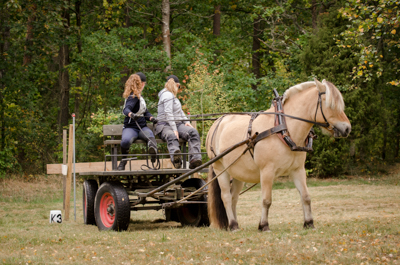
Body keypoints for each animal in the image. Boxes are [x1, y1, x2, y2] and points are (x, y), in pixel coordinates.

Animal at [206, 77, 350, 230]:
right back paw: (232, 224)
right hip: (220, 169)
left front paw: (309, 222)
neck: (283, 128)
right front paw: (263, 225)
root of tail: (217, 123)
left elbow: (305, 196)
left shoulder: (298, 170)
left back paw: (235, 224)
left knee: (234, 197)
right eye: (330, 104)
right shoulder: (267, 171)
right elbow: (266, 200)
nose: (347, 128)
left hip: (238, 172)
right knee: (226, 197)